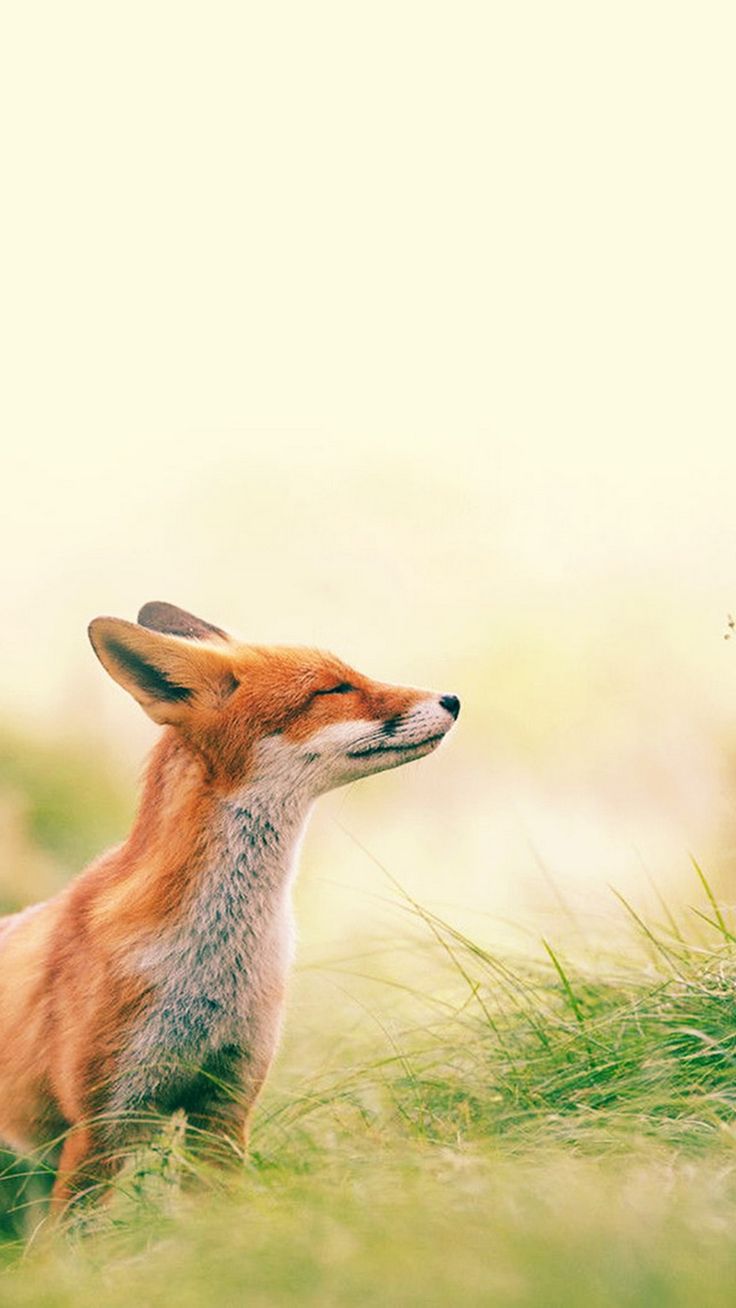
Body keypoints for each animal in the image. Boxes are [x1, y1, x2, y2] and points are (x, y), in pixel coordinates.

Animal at [0, 602, 460, 1210]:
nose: (453, 700)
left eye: (351, 675)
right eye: (333, 689)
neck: (213, 964)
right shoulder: (100, 1126)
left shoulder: (224, 1104)